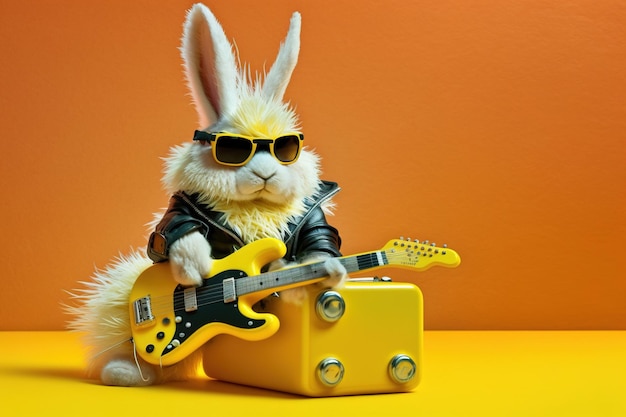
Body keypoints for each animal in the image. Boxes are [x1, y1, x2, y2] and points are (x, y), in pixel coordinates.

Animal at [66, 4, 346, 386]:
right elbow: (171, 229)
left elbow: (319, 238)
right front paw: (193, 267)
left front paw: (314, 272)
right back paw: (124, 371)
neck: (254, 207)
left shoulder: (311, 215)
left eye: (285, 150)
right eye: (232, 149)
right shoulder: (182, 205)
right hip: (126, 305)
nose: (266, 173)